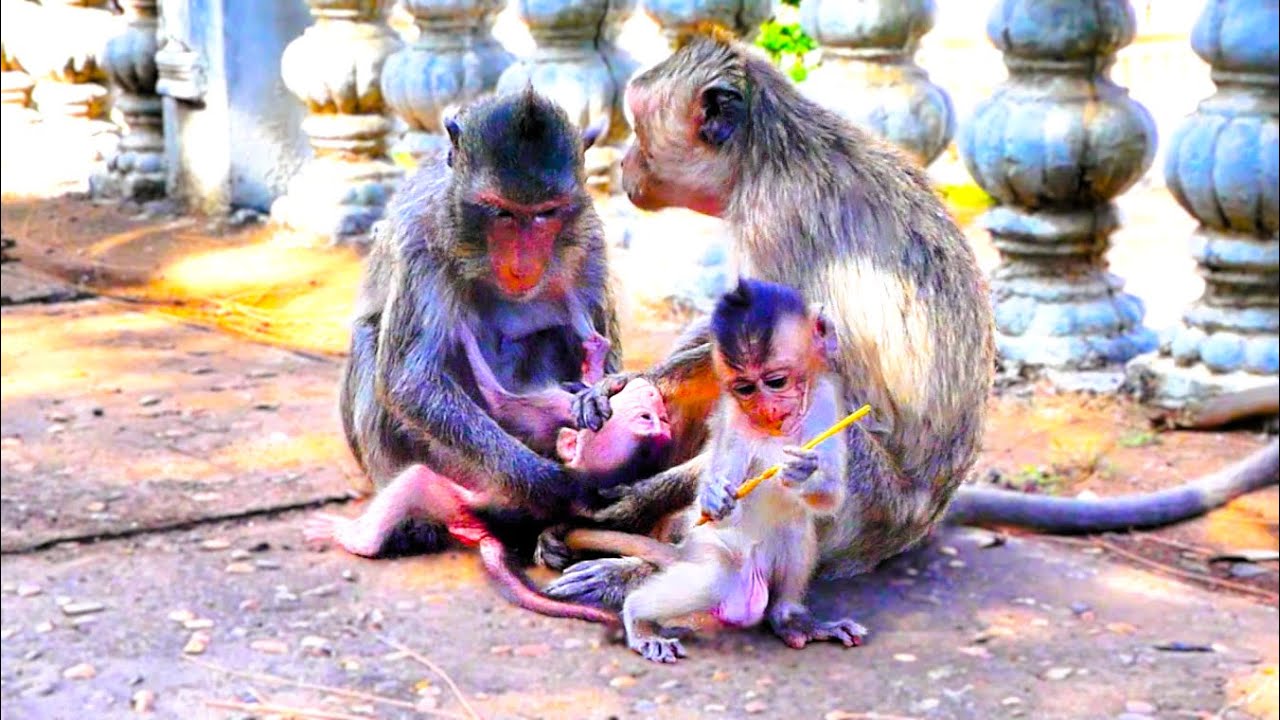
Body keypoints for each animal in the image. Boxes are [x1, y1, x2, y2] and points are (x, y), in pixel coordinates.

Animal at [542, 27, 1280, 612]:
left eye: (639, 129)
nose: (625, 161)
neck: (770, 154)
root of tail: (925, 517)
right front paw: (623, 389)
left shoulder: (771, 218)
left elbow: (776, 364)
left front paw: (634, 500)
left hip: (870, 505)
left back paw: (642, 568)